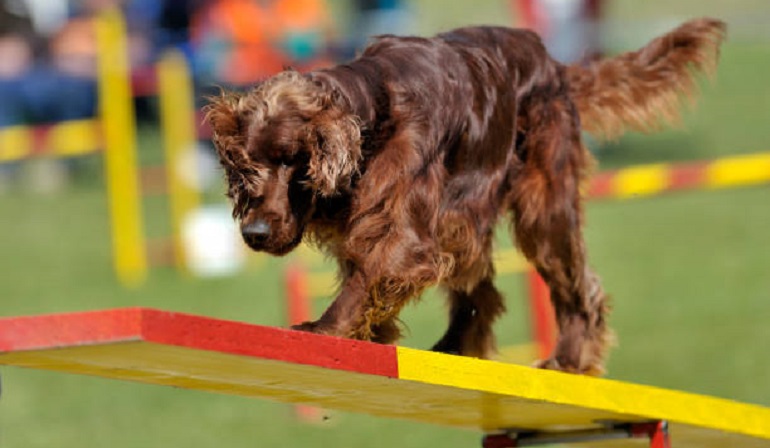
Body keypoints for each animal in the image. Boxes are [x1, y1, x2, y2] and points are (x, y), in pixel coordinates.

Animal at [202, 18, 720, 374]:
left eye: (294, 160)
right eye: (247, 165)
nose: (254, 233)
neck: (377, 114)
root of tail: (551, 62)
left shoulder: (407, 231)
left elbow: (368, 276)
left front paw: (325, 330)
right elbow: (366, 275)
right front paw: (372, 334)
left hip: (543, 208)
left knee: (578, 289)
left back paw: (567, 360)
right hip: (468, 221)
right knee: (482, 289)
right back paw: (454, 348)